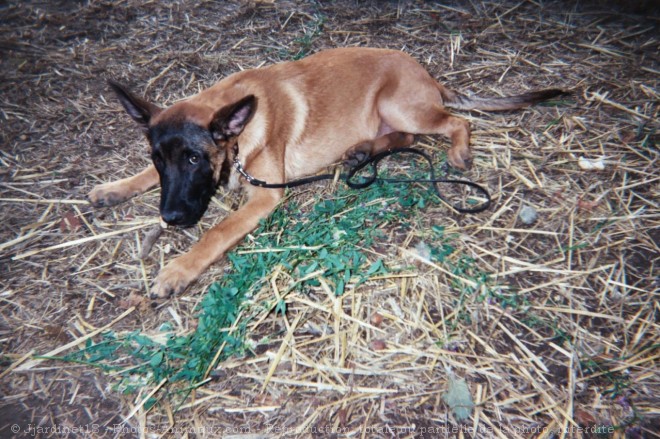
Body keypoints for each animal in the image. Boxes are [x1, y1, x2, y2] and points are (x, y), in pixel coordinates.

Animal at [89, 47, 564, 300]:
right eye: (159, 159)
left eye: (193, 159)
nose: (169, 219)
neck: (237, 136)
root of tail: (428, 76)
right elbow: (142, 178)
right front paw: (114, 188)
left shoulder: (265, 195)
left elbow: (216, 233)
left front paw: (177, 269)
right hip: (391, 116)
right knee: (405, 138)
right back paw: (361, 153)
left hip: (400, 105)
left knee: (455, 123)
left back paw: (458, 150)